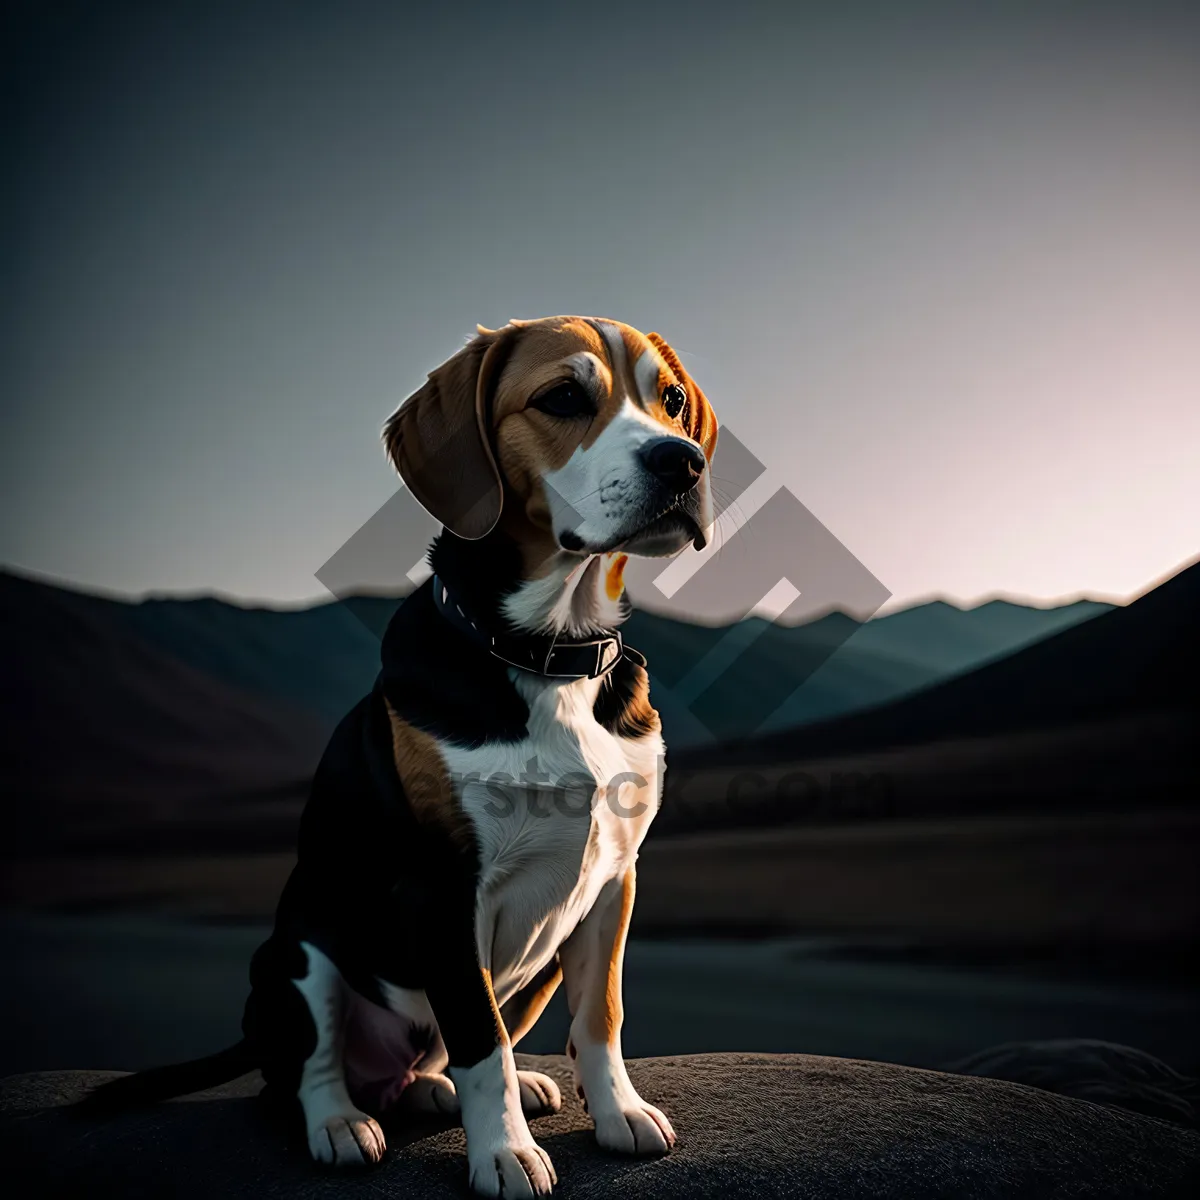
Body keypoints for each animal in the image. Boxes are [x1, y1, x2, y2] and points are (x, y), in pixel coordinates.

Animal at [84, 314, 720, 1195]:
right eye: (562, 397)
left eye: (671, 401)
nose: (681, 461)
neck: (548, 650)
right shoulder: (443, 889)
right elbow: (481, 1038)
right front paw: (504, 1154)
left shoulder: (613, 881)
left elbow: (600, 1015)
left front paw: (618, 1112)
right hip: (300, 950)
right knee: (308, 1072)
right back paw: (343, 1124)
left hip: (531, 968)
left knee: (434, 1063)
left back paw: (451, 1089)